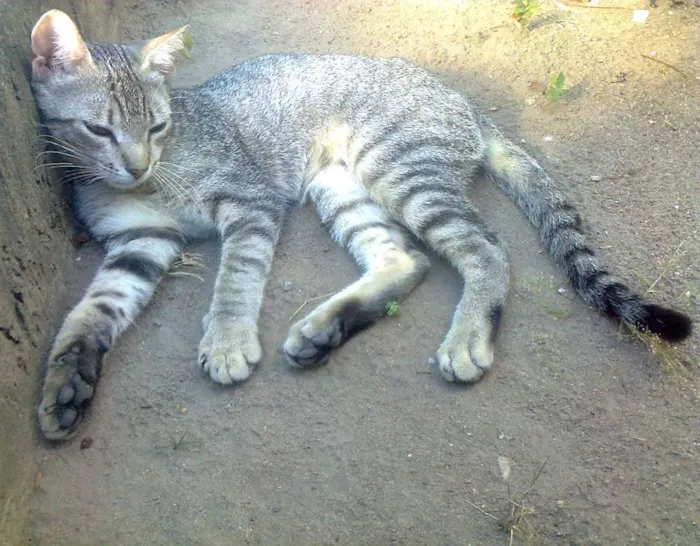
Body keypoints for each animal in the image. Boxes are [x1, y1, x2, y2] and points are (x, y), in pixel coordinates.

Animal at [30, 10, 692, 440]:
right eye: (99, 130)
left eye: (158, 127)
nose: (138, 163)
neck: (148, 182)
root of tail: (464, 103)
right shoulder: (139, 242)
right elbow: (89, 314)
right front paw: (66, 384)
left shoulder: (250, 202)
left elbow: (235, 280)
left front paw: (226, 340)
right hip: (343, 187)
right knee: (404, 259)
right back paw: (325, 329)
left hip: (399, 169)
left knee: (487, 249)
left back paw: (465, 336)